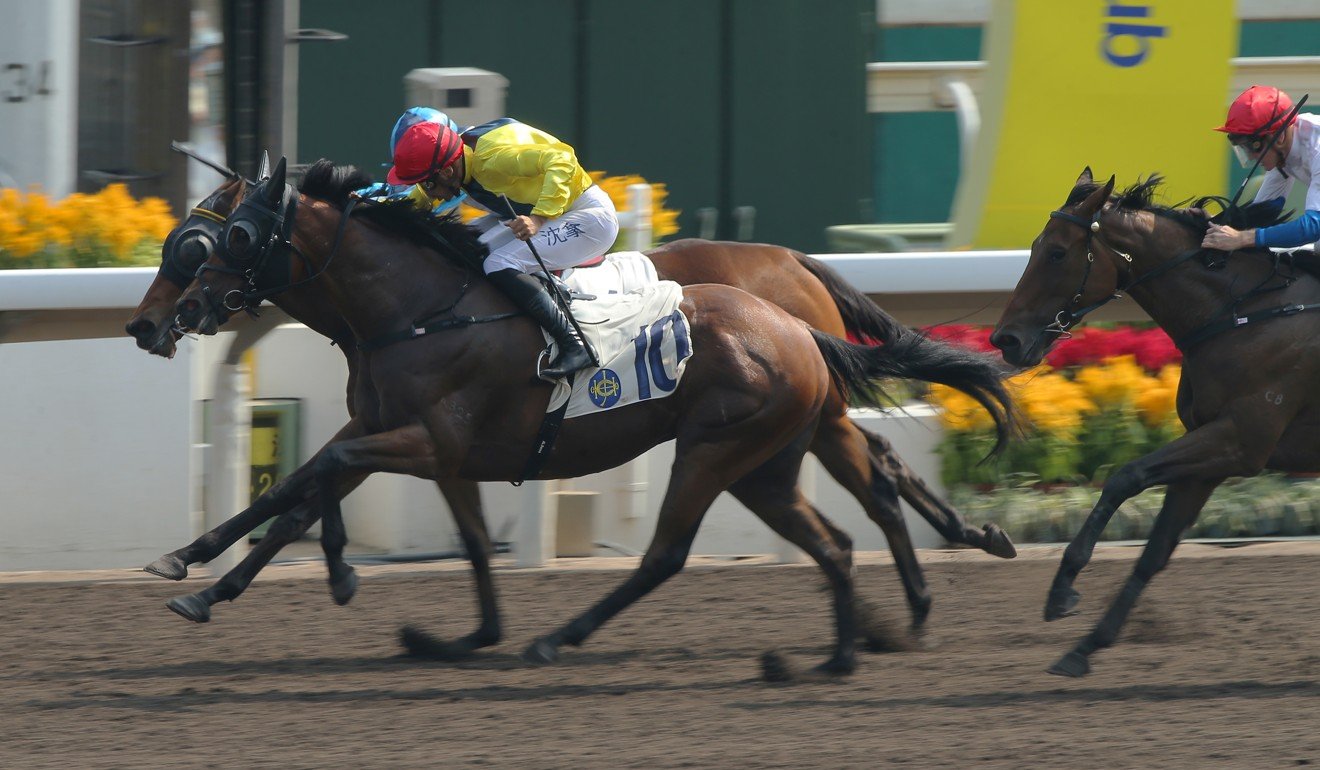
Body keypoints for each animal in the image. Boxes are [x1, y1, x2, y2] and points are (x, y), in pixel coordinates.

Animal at [165, 158, 1008, 676]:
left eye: (232, 234)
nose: (176, 315)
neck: (419, 310)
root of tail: (798, 323)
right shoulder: (413, 443)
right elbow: (312, 489)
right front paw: (196, 571)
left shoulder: (425, 440)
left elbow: (316, 481)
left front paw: (308, 573)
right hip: (766, 463)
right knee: (841, 529)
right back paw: (853, 645)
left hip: (715, 452)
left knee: (674, 552)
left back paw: (559, 639)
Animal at [992, 167, 1314, 676]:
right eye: (1035, 245)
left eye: (1057, 251)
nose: (1004, 339)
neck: (1241, 313)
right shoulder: (1211, 454)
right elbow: (1155, 552)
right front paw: (1084, 646)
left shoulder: (1241, 440)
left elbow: (1124, 476)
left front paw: (1063, 590)